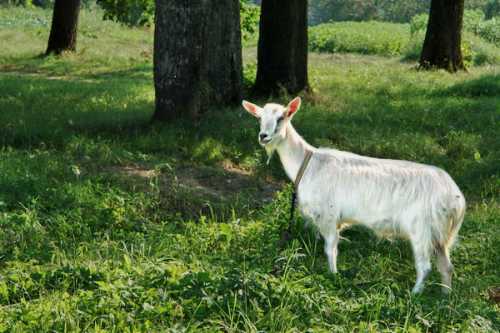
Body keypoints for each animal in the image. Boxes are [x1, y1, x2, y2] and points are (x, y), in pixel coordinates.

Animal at [244, 96, 466, 294]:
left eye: (282, 117)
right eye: (259, 118)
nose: (263, 136)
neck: (307, 163)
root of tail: (456, 198)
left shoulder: (328, 216)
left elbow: (330, 249)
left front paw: (333, 276)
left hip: (421, 229)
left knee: (425, 266)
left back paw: (415, 295)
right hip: (439, 234)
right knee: (446, 267)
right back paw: (445, 296)